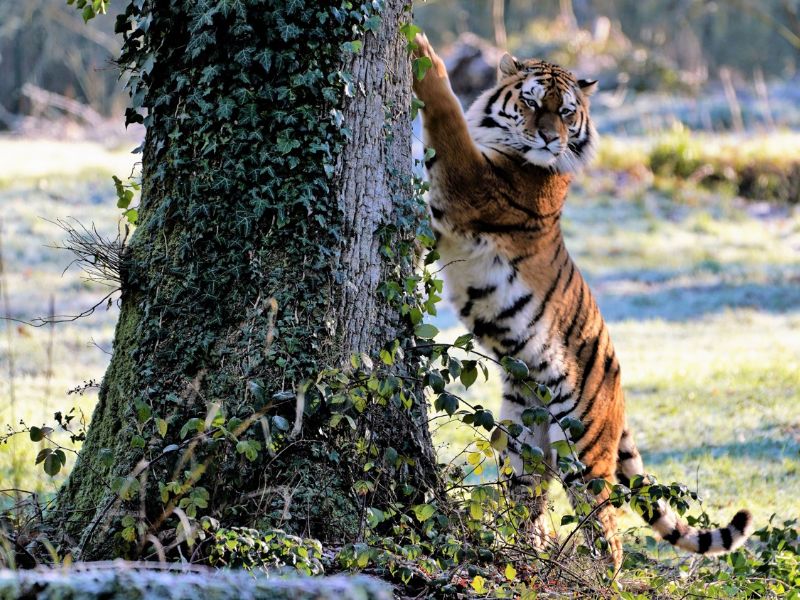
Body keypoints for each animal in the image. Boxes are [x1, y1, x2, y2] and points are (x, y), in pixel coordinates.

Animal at [412, 32, 756, 568]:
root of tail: (620, 384)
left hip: (584, 448)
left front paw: (424, 53)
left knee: (607, 532)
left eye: (567, 111)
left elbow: (446, 117)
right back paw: (527, 556)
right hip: (521, 437)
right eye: (533, 102)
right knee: (530, 502)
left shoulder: (472, 182)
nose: (550, 138)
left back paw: (588, 573)